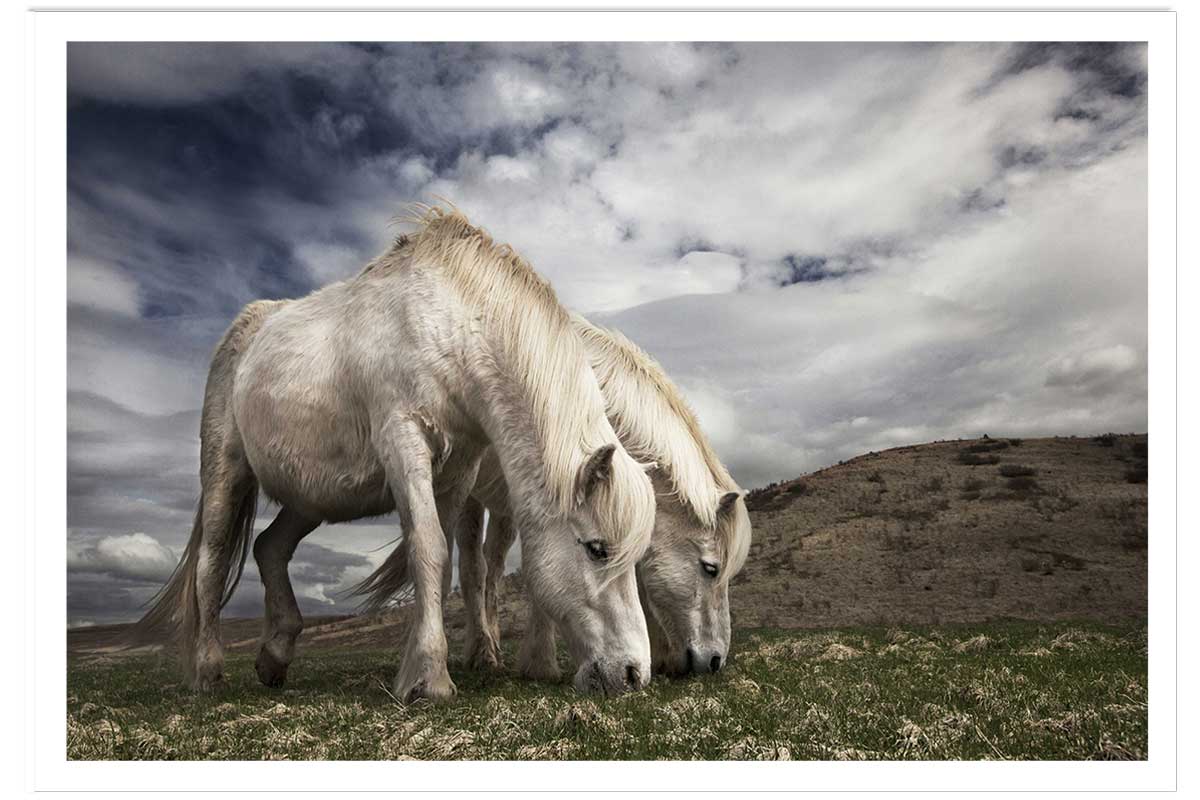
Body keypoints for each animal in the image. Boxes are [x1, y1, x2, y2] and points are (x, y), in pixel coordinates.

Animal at [132, 206, 657, 702]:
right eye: (597, 549)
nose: (634, 674)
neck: (448, 326)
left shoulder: (459, 471)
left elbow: (444, 564)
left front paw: (424, 666)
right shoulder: (404, 442)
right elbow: (427, 549)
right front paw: (431, 680)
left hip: (309, 500)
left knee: (270, 548)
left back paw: (274, 657)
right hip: (226, 473)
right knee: (212, 561)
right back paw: (207, 672)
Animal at [356, 314, 753, 680]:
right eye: (711, 568)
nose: (715, 661)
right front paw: (541, 663)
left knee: (493, 566)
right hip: (469, 496)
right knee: (472, 567)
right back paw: (479, 653)